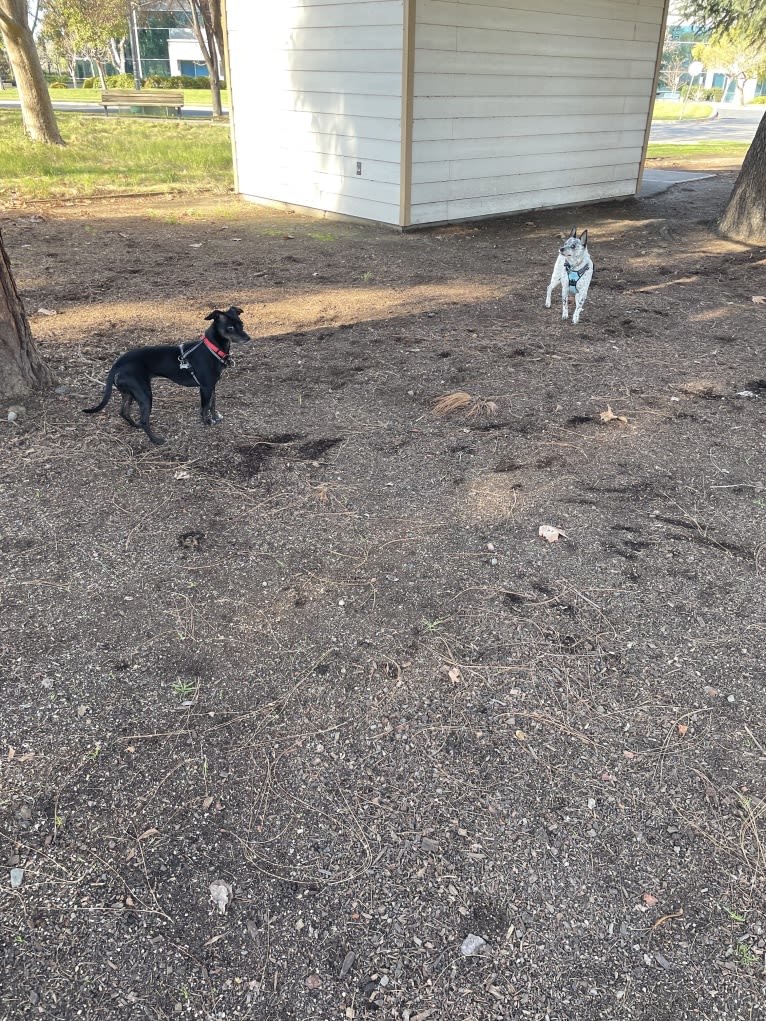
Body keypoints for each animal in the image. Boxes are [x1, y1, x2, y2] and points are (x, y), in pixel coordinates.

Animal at [83, 306, 252, 443]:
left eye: (241, 324)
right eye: (230, 327)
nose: (248, 338)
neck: (212, 348)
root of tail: (116, 364)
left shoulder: (212, 386)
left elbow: (212, 404)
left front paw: (215, 417)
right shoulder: (205, 387)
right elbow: (204, 407)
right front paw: (207, 422)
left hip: (129, 393)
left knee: (123, 412)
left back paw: (135, 426)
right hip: (144, 394)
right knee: (144, 420)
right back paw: (156, 440)